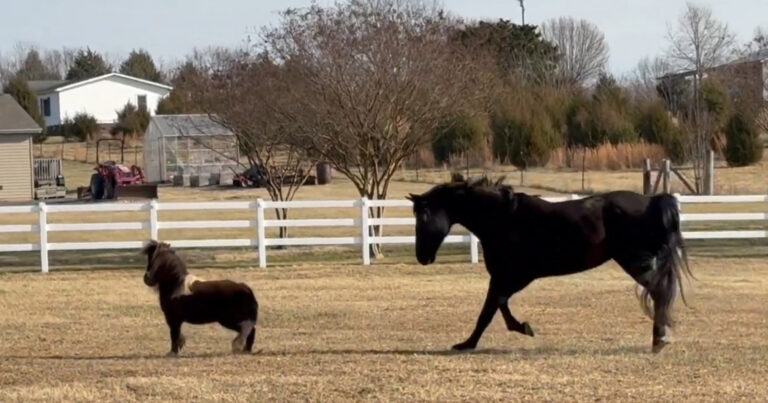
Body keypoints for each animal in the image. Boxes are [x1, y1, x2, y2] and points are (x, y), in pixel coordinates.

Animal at [407, 174, 691, 353]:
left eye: (423, 217)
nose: (422, 257)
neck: (503, 219)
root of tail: (651, 201)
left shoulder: (511, 275)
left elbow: (489, 310)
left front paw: (472, 342)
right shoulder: (509, 277)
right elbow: (497, 306)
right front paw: (517, 329)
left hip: (634, 261)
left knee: (659, 293)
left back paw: (659, 340)